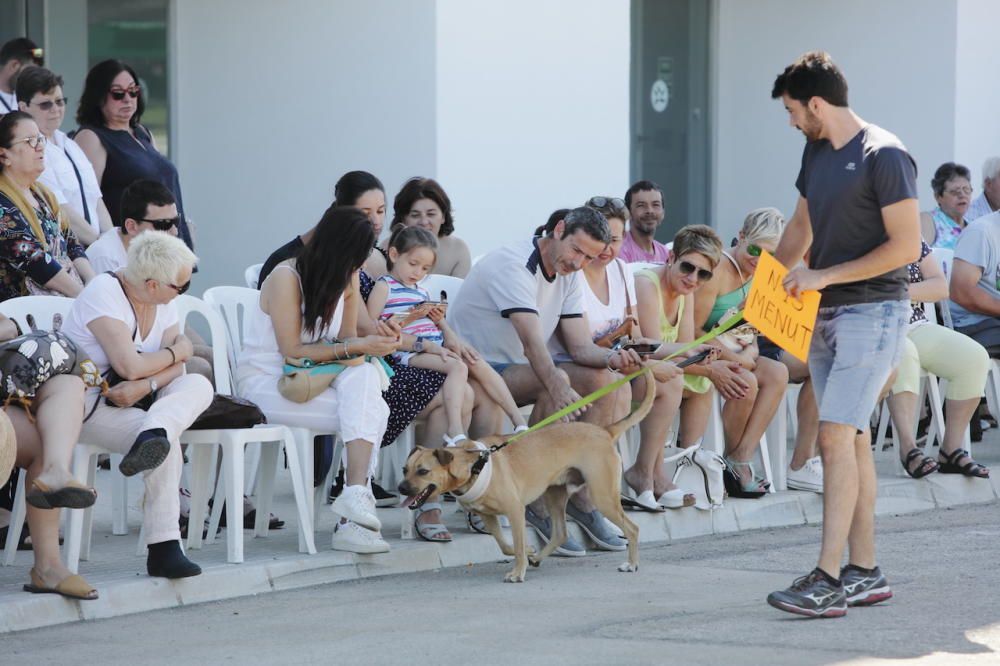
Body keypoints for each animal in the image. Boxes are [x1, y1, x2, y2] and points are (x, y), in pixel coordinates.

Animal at [398, 366, 656, 580]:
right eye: (404, 469)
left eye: (423, 471)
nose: (401, 488)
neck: (473, 464)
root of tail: (604, 431)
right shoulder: (489, 516)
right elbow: (506, 545)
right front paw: (529, 552)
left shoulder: (515, 511)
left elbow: (519, 545)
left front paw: (517, 571)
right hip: (555, 494)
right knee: (560, 533)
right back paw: (539, 557)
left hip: (602, 496)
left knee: (632, 529)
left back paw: (631, 564)